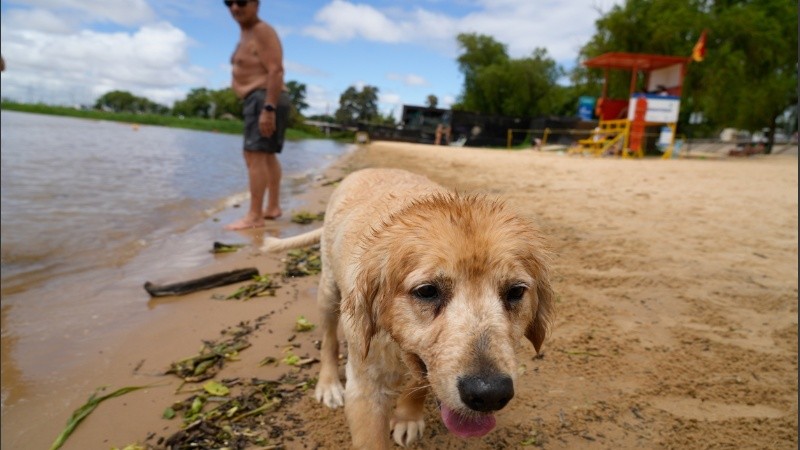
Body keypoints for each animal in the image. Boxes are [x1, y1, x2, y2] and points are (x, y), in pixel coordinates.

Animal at [260, 167, 552, 448]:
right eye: (427, 291)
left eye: (515, 291)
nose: (489, 394)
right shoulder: (365, 387)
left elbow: (420, 383)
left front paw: (407, 417)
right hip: (329, 293)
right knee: (329, 340)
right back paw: (328, 384)